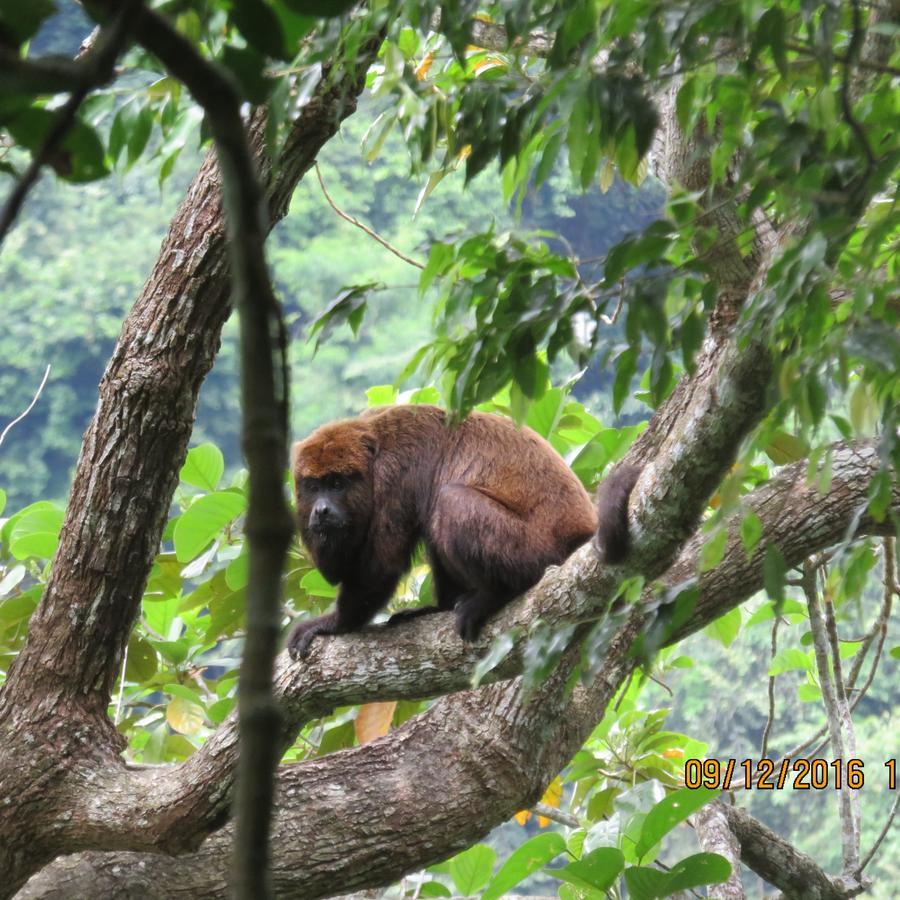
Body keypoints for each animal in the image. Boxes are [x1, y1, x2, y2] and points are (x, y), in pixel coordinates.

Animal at [288, 404, 640, 656]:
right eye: (313, 486)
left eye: (337, 483)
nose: (321, 510)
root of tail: (582, 530)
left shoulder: (393, 476)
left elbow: (382, 565)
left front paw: (332, 624)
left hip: (537, 551)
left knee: (450, 502)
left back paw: (497, 594)